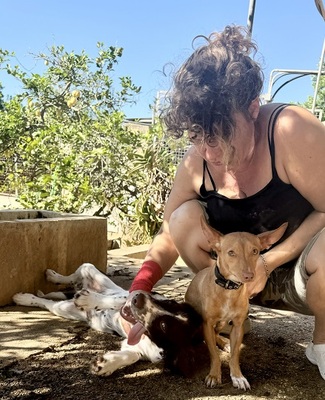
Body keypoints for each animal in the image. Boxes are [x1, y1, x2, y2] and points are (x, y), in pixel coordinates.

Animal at [185, 219, 286, 390]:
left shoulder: (238, 326)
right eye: (231, 253)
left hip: (222, 323)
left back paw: (224, 343)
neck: (229, 289)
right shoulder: (207, 323)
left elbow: (235, 356)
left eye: (255, 251)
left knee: (217, 334)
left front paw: (237, 376)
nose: (249, 276)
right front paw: (214, 375)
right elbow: (214, 354)